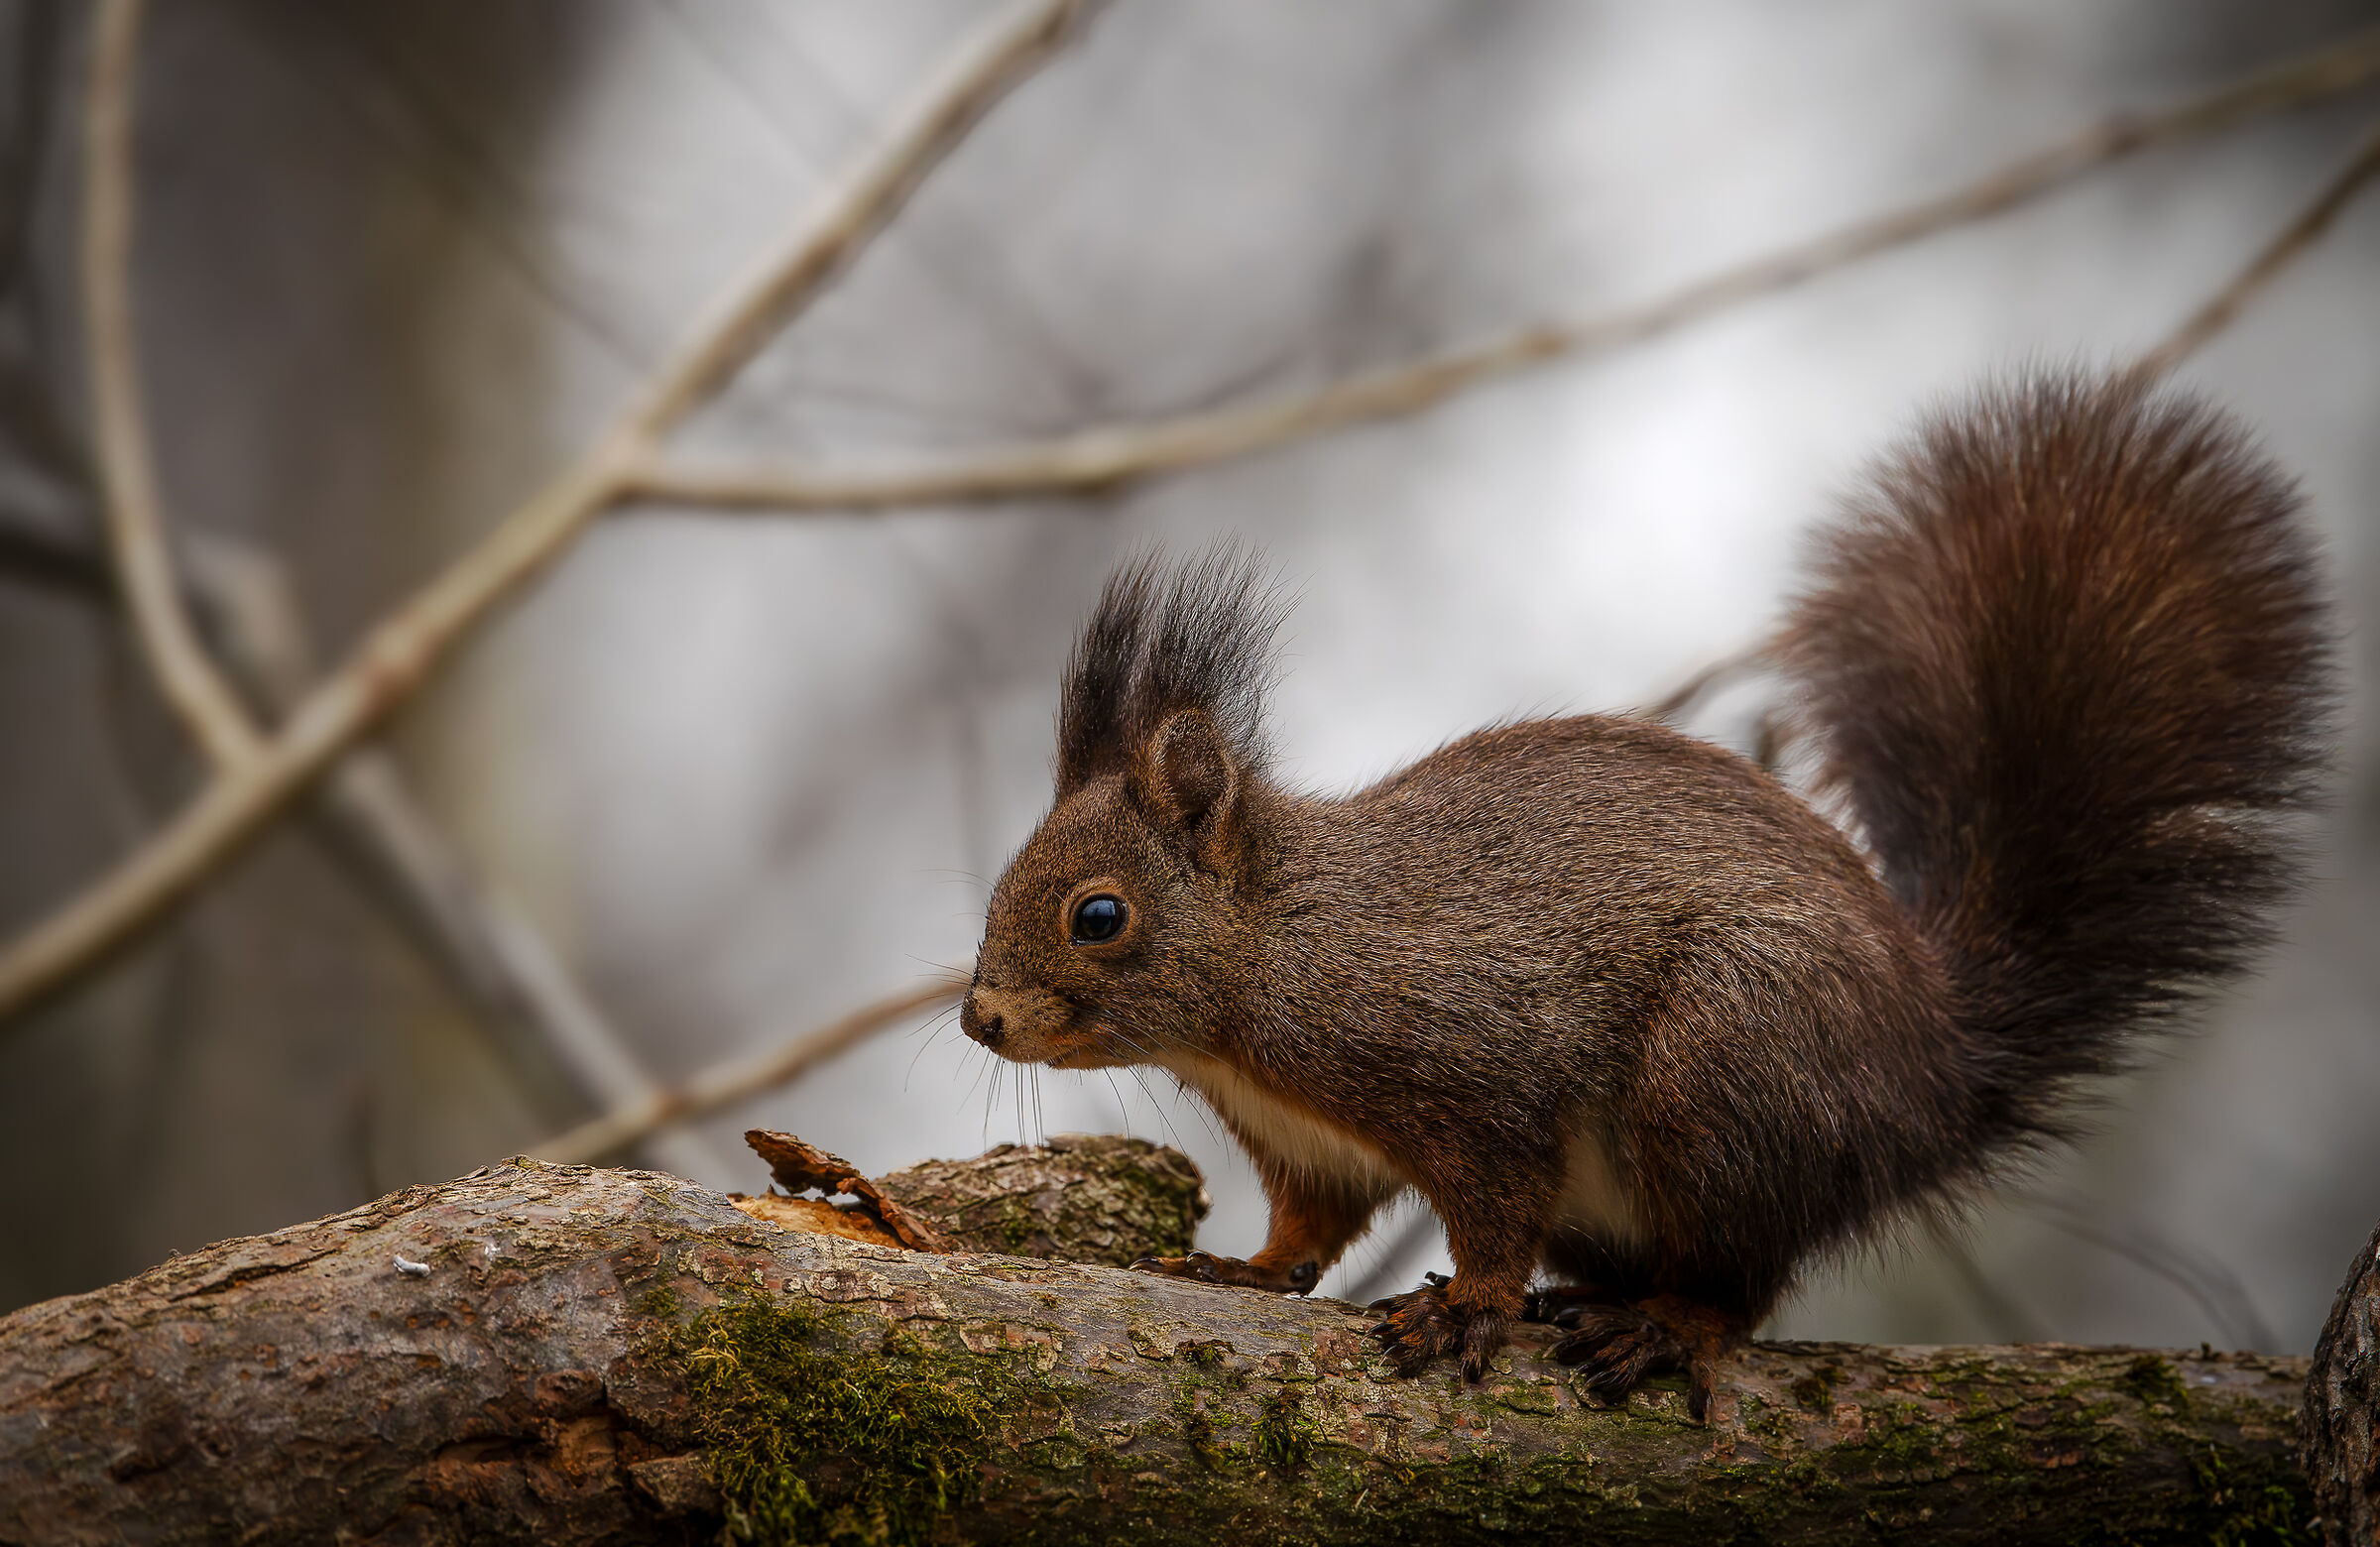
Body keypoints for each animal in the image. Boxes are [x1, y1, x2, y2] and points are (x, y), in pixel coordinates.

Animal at [957, 371, 2332, 1417]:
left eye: (1097, 916)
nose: (980, 1017)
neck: (1266, 971)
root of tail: (1934, 1080)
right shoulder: (1310, 1148)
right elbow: (1312, 1229)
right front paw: (1246, 1273)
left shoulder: (1474, 1066)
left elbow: (1496, 1204)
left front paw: (1470, 1306)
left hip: (1728, 1065)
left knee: (1746, 1279)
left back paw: (1664, 1327)